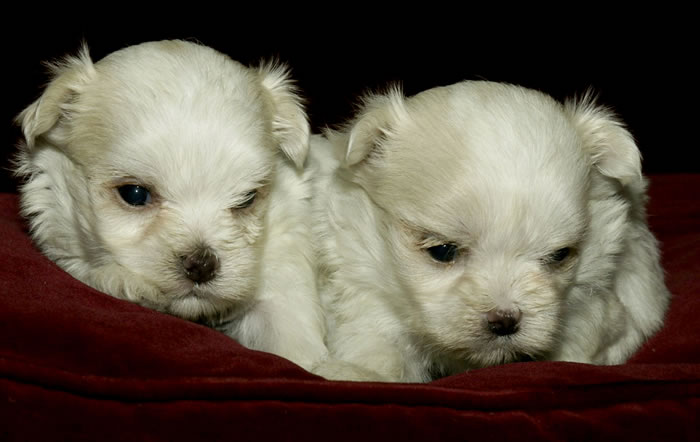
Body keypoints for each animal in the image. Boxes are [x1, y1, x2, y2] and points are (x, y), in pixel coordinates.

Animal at [312, 81, 672, 382]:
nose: (505, 319)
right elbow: (378, 341)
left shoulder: (595, 296)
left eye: (559, 255)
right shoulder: (367, 279)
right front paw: (359, 373)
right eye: (442, 251)